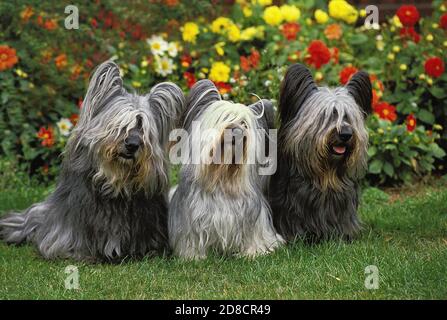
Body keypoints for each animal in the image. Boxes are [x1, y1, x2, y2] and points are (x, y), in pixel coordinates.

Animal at [168, 80, 284, 260]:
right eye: (224, 118)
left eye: (244, 124)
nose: (236, 130)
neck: (223, 178)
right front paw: (193, 256)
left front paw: (253, 252)